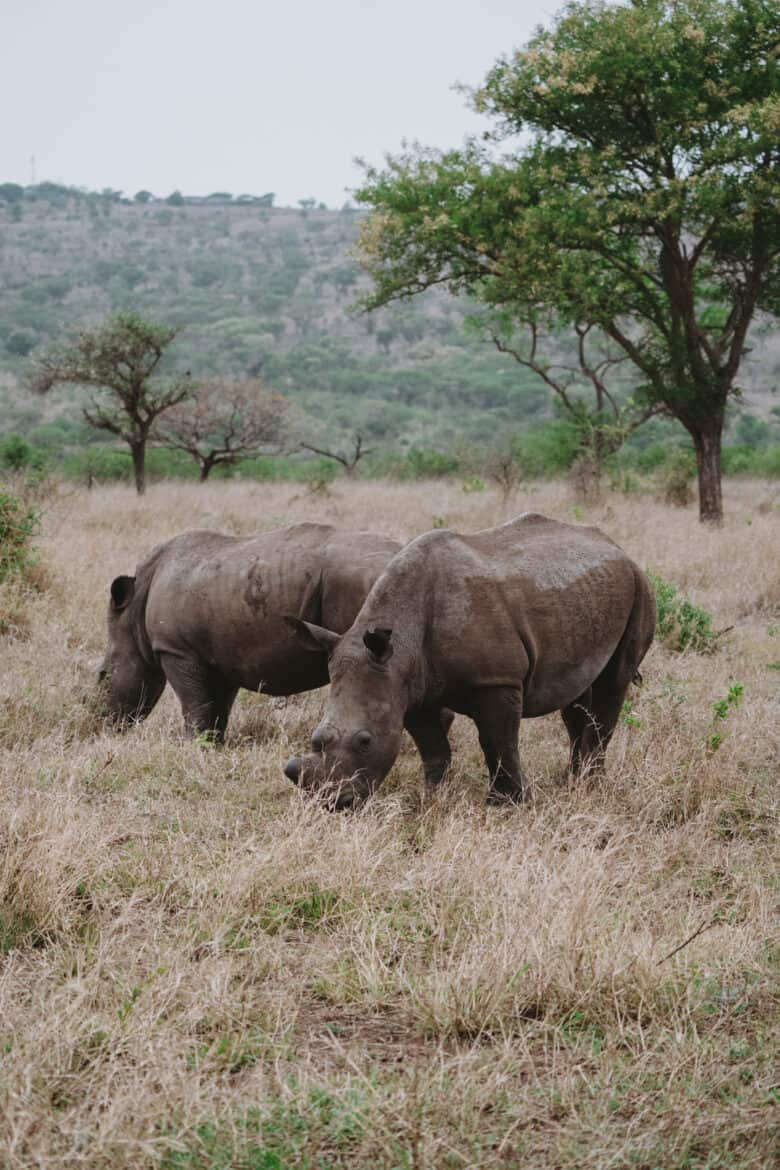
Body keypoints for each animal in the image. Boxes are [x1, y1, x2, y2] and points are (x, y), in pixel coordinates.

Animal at [97, 524, 399, 739]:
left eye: (102, 676)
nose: (99, 722)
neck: (133, 615)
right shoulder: (220, 654)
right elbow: (217, 707)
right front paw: (211, 746)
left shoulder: (175, 649)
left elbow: (193, 703)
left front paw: (191, 745)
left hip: (359, 583)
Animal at [284, 517, 654, 809]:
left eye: (365, 741)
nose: (336, 803)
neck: (400, 646)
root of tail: (614, 545)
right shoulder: (409, 686)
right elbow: (433, 749)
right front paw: (433, 797)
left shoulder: (496, 680)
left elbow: (497, 742)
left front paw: (505, 804)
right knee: (576, 696)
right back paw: (571, 781)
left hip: (639, 583)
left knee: (613, 682)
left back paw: (591, 784)